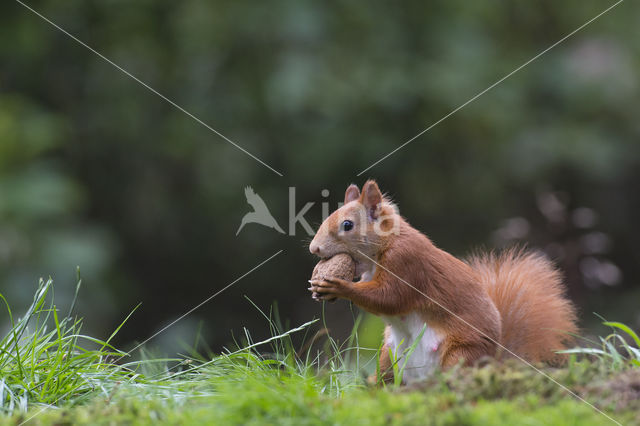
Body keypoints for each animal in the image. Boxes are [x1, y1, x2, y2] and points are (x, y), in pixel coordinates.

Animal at [308, 180, 576, 382]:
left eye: (347, 225)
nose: (314, 249)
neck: (383, 247)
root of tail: (493, 359)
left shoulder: (406, 263)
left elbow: (391, 298)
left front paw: (340, 286)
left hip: (461, 354)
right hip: (388, 357)